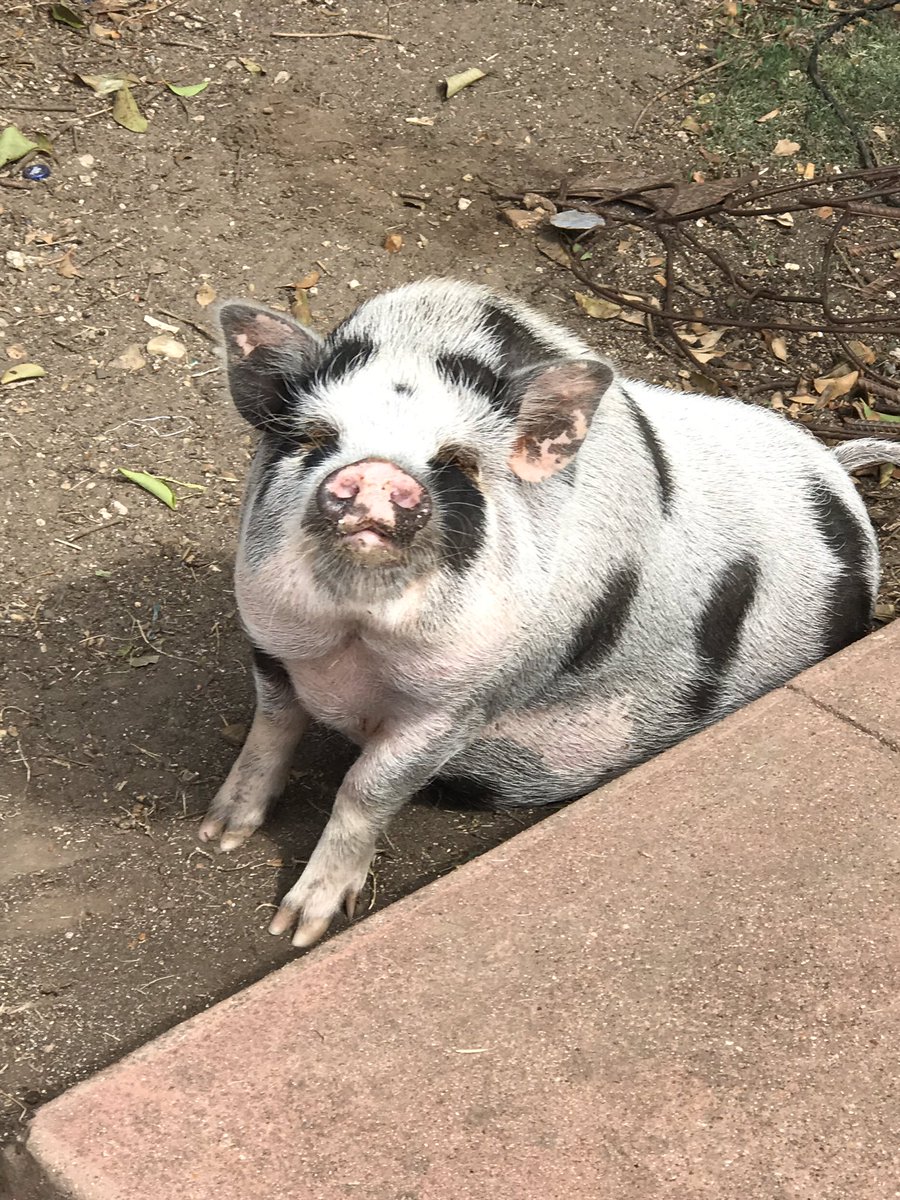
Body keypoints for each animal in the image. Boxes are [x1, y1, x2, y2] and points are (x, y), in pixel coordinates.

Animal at [199, 278, 900, 948]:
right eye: (315, 439)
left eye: (459, 463)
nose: (377, 473)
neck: (353, 640)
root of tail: (841, 478)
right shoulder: (268, 637)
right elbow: (271, 724)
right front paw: (220, 832)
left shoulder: (465, 702)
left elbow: (366, 790)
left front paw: (296, 928)